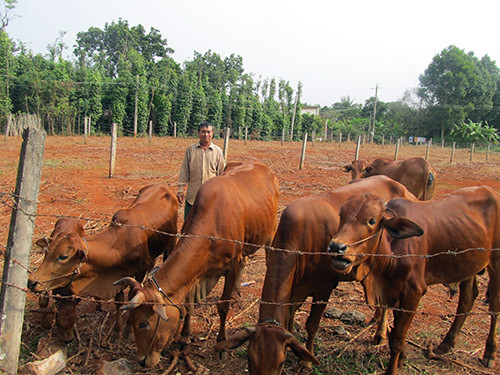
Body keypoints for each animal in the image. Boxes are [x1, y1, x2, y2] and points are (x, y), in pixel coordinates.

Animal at [29, 186, 178, 344]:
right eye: (46, 251)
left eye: (63, 256)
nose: (32, 282)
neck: (120, 242)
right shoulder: (118, 275)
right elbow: (119, 300)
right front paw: (116, 332)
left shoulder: (140, 270)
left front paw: (128, 330)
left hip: (172, 240)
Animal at [115, 160, 280, 368]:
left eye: (143, 323)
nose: (143, 360)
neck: (212, 225)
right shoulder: (197, 275)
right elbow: (189, 305)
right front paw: (184, 339)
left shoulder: (231, 265)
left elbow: (222, 307)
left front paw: (222, 345)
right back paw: (236, 292)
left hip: (270, 233)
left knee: (268, 260)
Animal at [328, 188, 500, 375]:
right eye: (341, 214)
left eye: (371, 220)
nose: (336, 247)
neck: (392, 249)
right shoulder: (394, 291)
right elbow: (397, 329)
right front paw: (402, 359)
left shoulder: (413, 292)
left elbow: (397, 339)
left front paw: (392, 369)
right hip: (468, 267)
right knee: (467, 300)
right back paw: (446, 344)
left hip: (496, 265)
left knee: (494, 307)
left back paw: (490, 353)